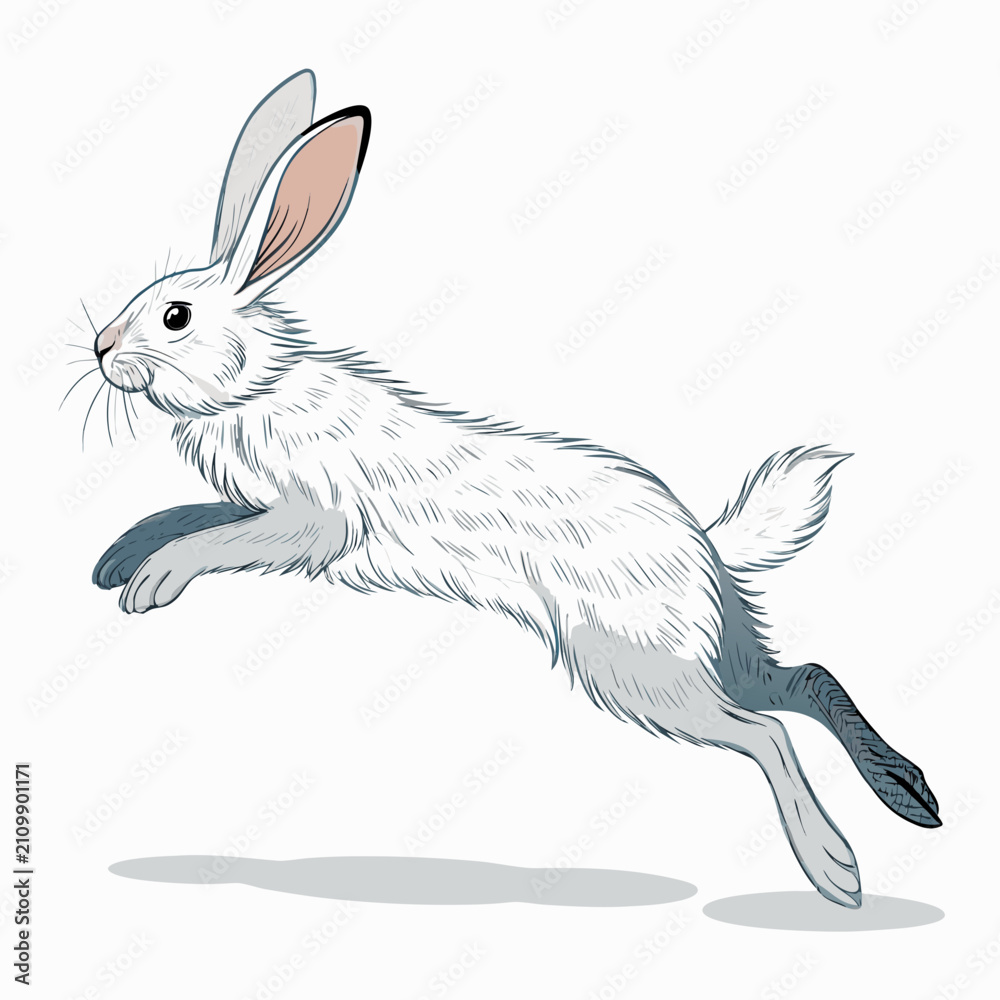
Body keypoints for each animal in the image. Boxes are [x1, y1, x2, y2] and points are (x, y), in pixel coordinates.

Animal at [85, 69, 940, 908]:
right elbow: (190, 512)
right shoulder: (259, 503)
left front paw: (153, 582)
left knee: (764, 730)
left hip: (627, 663)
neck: (254, 388)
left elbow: (220, 537)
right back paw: (911, 797)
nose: (100, 348)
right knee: (799, 680)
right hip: (691, 651)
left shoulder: (315, 518)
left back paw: (836, 871)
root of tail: (702, 543)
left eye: (174, 316)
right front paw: (117, 561)